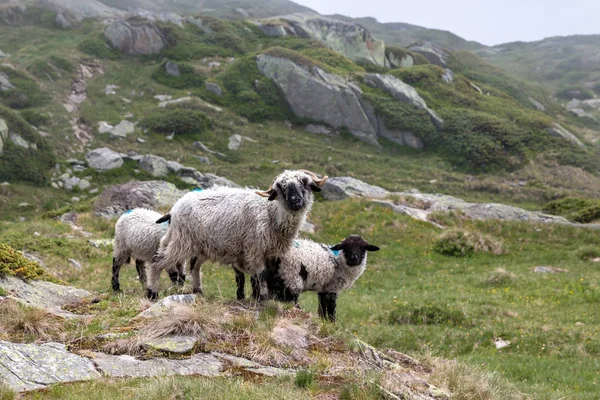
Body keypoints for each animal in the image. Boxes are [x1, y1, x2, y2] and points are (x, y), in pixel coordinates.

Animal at [146, 169, 330, 300]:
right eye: (282, 188)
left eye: (304, 183)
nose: (295, 201)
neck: (272, 213)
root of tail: (175, 208)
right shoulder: (255, 249)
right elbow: (261, 274)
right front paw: (262, 297)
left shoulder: (273, 252)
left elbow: (268, 275)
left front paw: (264, 296)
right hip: (182, 240)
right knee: (157, 262)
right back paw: (151, 293)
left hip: (198, 244)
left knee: (194, 266)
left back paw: (198, 290)